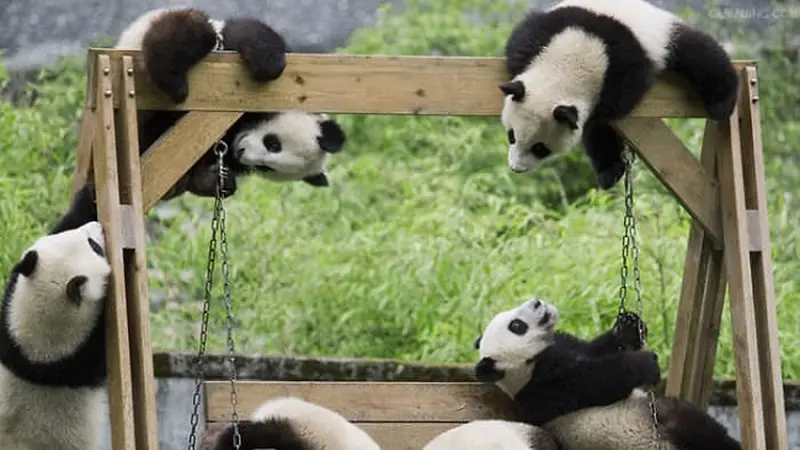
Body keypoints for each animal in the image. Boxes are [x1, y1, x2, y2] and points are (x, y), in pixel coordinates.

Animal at [51, 7, 348, 236]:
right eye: (273, 143)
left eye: (267, 167)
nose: (242, 150)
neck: (237, 131)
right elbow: (250, 35)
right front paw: (268, 63)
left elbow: (203, 176)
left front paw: (221, 180)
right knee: (187, 31)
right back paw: (175, 84)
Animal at [472, 298, 740, 450]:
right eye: (516, 326)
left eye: (512, 319)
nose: (536, 302)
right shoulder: (544, 392)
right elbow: (596, 382)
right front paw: (644, 362)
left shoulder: (566, 349)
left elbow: (596, 349)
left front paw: (628, 327)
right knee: (693, 424)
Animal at [500, 0, 736, 189]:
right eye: (511, 135)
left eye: (540, 148)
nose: (515, 168)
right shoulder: (540, 33)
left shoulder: (621, 74)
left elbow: (601, 122)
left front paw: (609, 170)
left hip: (662, 35)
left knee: (700, 54)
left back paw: (722, 102)